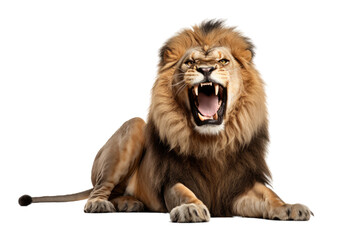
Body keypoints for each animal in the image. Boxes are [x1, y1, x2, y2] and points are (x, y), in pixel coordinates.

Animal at [19, 19, 312, 222]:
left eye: (223, 61)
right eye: (190, 62)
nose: (206, 69)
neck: (213, 142)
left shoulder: (238, 185)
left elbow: (269, 196)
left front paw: (290, 207)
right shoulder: (173, 178)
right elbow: (184, 192)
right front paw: (191, 208)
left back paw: (128, 203)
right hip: (134, 127)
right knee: (100, 189)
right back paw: (101, 204)